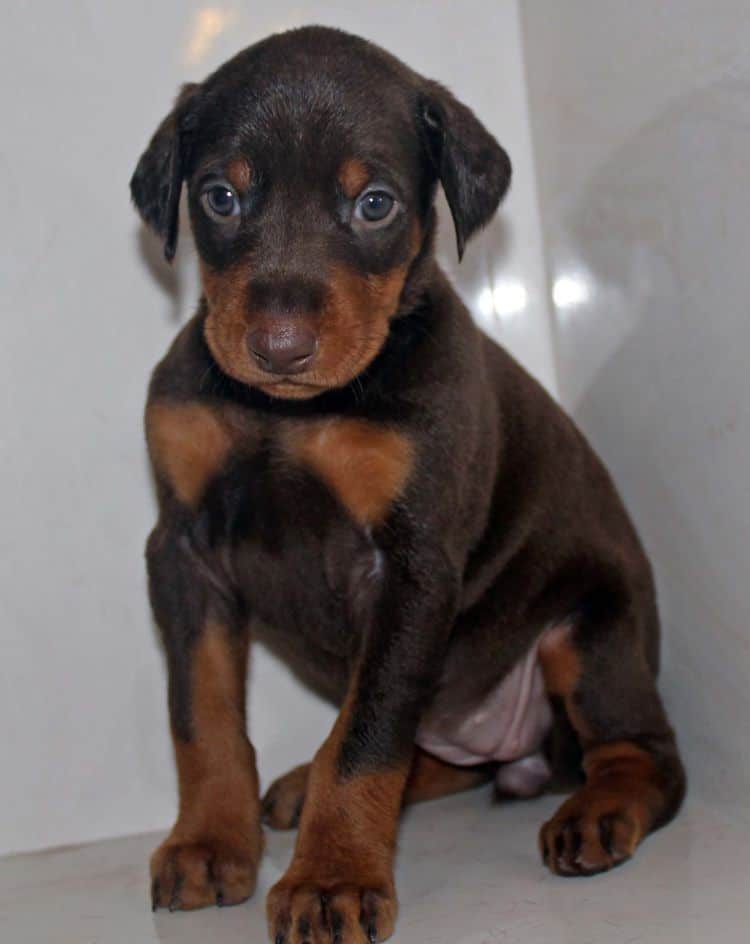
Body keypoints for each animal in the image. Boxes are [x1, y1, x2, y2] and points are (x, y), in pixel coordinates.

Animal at [131, 25, 688, 944]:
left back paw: (598, 812)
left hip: (592, 631)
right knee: (434, 756)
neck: (289, 412)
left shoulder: (412, 566)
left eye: (375, 205)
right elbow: (200, 714)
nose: (279, 347)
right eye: (219, 196)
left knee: (643, 751)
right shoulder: (183, 550)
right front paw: (211, 842)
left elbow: (364, 739)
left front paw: (330, 880)